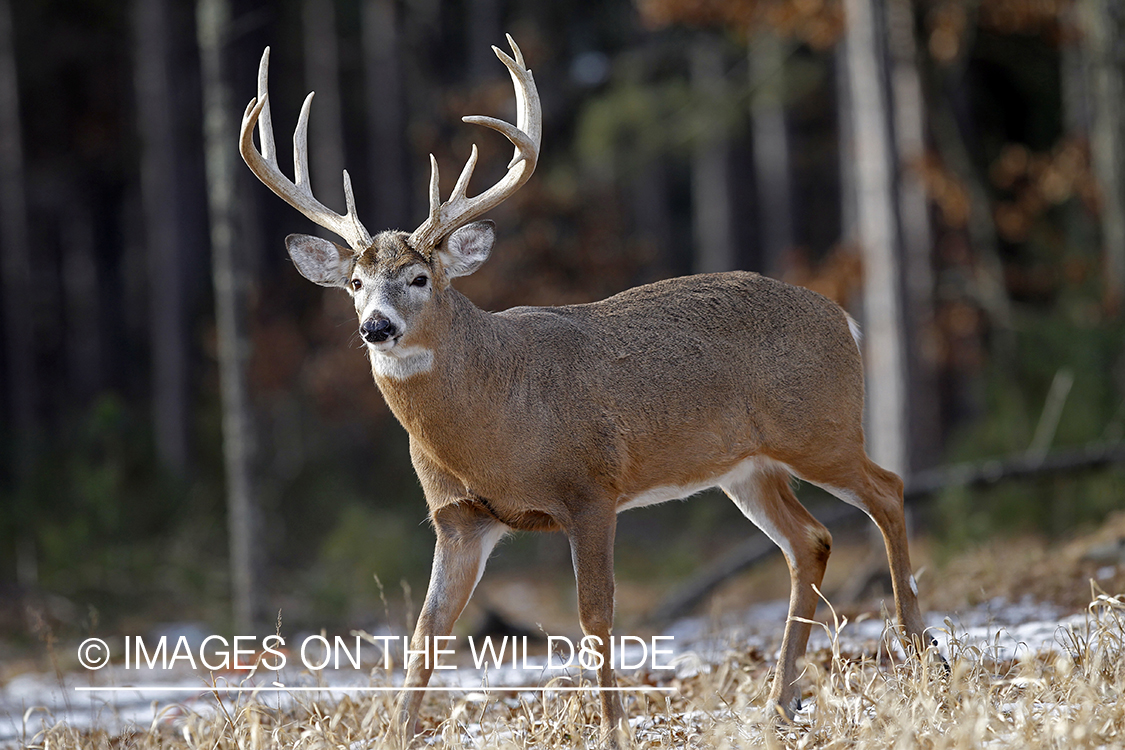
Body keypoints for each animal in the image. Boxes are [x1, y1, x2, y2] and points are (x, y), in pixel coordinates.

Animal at [241, 36, 936, 746]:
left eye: (418, 277)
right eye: (354, 283)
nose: (376, 327)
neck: (493, 421)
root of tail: (844, 318)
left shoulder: (591, 488)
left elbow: (595, 616)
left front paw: (612, 728)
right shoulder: (458, 518)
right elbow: (426, 631)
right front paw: (396, 733)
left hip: (820, 427)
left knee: (888, 489)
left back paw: (917, 654)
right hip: (747, 467)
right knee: (810, 540)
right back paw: (779, 702)